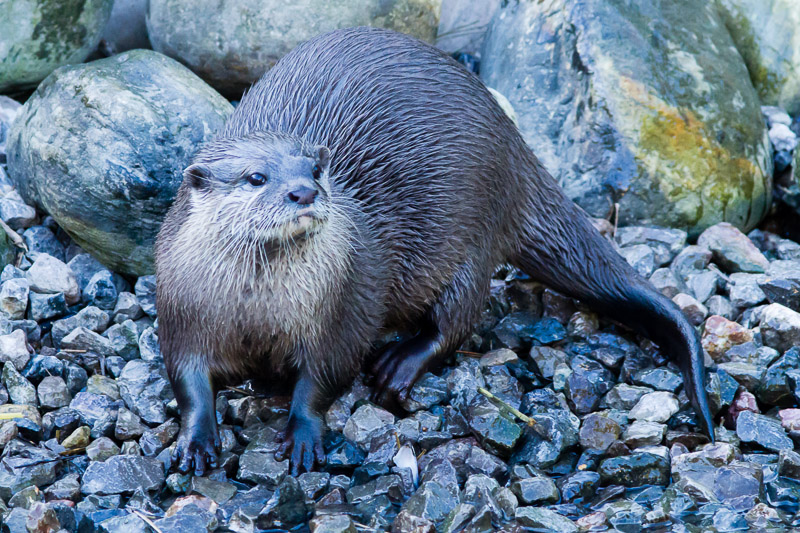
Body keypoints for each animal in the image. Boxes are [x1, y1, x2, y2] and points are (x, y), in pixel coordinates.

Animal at [156, 27, 713, 476]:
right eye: (256, 177)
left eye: (316, 169)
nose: (304, 192)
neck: (257, 310)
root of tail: (515, 147)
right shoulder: (180, 307)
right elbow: (187, 379)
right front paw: (196, 440)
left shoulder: (344, 305)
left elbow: (324, 375)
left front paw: (301, 434)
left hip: (473, 242)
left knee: (457, 320)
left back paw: (400, 363)